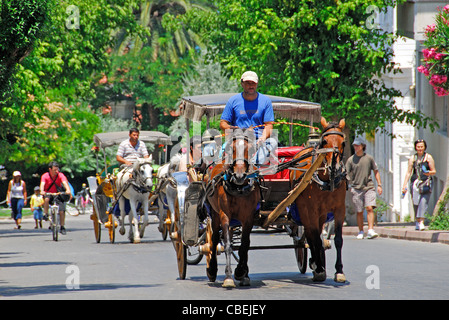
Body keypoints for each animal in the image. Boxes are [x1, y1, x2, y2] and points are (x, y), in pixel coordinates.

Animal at [203, 129, 260, 288]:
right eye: (231, 149)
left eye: (250, 149)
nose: (239, 175)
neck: (239, 188)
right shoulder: (224, 215)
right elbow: (227, 244)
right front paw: (228, 278)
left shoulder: (248, 218)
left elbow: (244, 245)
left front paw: (241, 272)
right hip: (215, 214)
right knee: (215, 239)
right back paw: (212, 270)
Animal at [288, 117, 348, 282]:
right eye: (324, 141)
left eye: (343, 142)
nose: (334, 168)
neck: (327, 180)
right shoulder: (311, 209)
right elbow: (314, 237)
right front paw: (319, 267)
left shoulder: (339, 209)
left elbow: (338, 239)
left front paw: (339, 270)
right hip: (303, 210)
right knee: (310, 234)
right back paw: (316, 263)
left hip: (321, 213)